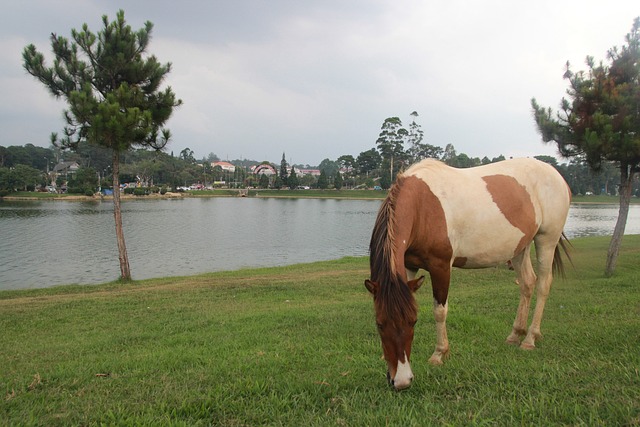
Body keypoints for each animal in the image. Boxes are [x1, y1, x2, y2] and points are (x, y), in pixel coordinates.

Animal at [364, 158, 568, 392]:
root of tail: (555, 174)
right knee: (527, 283)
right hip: (520, 247)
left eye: (413, 322)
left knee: (543, 284)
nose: (401, 381)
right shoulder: (408, 266)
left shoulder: (441, 265)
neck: (422, 205)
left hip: (546, 240)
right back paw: (515, 334)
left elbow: (440, 311)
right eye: (379, 324)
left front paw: (439, 354)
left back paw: (530, 339)